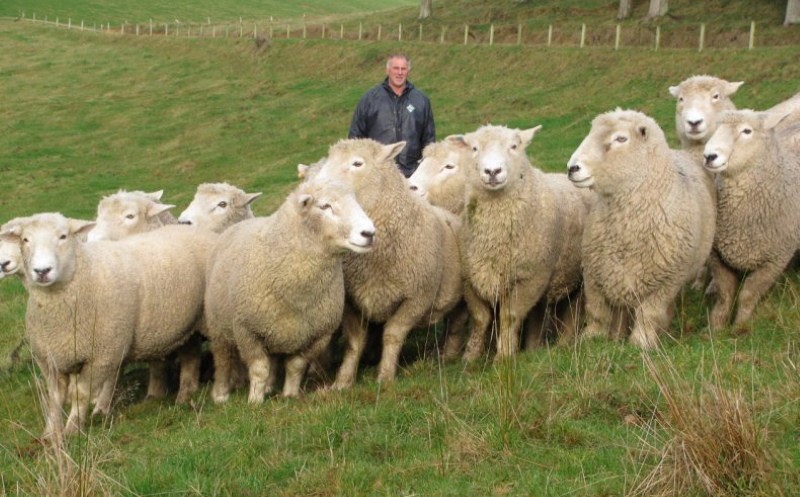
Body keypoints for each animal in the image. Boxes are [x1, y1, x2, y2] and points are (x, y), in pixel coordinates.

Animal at [0, 213, 217, 434]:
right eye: (25, 240)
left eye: (63, 236)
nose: (42, 271)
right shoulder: (50, 360)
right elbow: (54, 398)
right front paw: (51, 434)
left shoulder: (104, 353)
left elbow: (81, 393)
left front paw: (74, 429)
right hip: (186, 325)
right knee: (191, 354)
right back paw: (185, 393)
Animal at [200, 178, 376, 404]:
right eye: (325, 206)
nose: (369, 233)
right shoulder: (247, 331)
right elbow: (259, 369)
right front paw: (254, 402)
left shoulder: (317, 336)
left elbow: (295, 367)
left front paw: (289, 395)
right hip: (219, 326)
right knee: (223, 359)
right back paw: (221, 395)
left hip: (275, 332)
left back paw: (268, 387)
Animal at [310, 137, 462, 388]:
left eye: (357, 163)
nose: (314, 189)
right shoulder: (351, 302)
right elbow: (354, 342)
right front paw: (342, 382)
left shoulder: (417, 298)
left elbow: (393, 334)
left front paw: (385, 376)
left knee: (458, 322)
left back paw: (449, 355)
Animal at [564, 108, 716, 348]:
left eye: (621, 139)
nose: (572, 168)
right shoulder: (594, 275)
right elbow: (597, 312)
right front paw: (591, 338)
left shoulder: (665, 282)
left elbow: (649, 315)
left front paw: (642, 342)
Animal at [700, 108, 800, 330]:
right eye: (717, 127)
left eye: (747, 131)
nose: (709, 156)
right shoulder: (717, 255)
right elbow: (725, 292)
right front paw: (716, 327)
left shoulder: (776, 259)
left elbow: (748, 293)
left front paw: (740, 326)